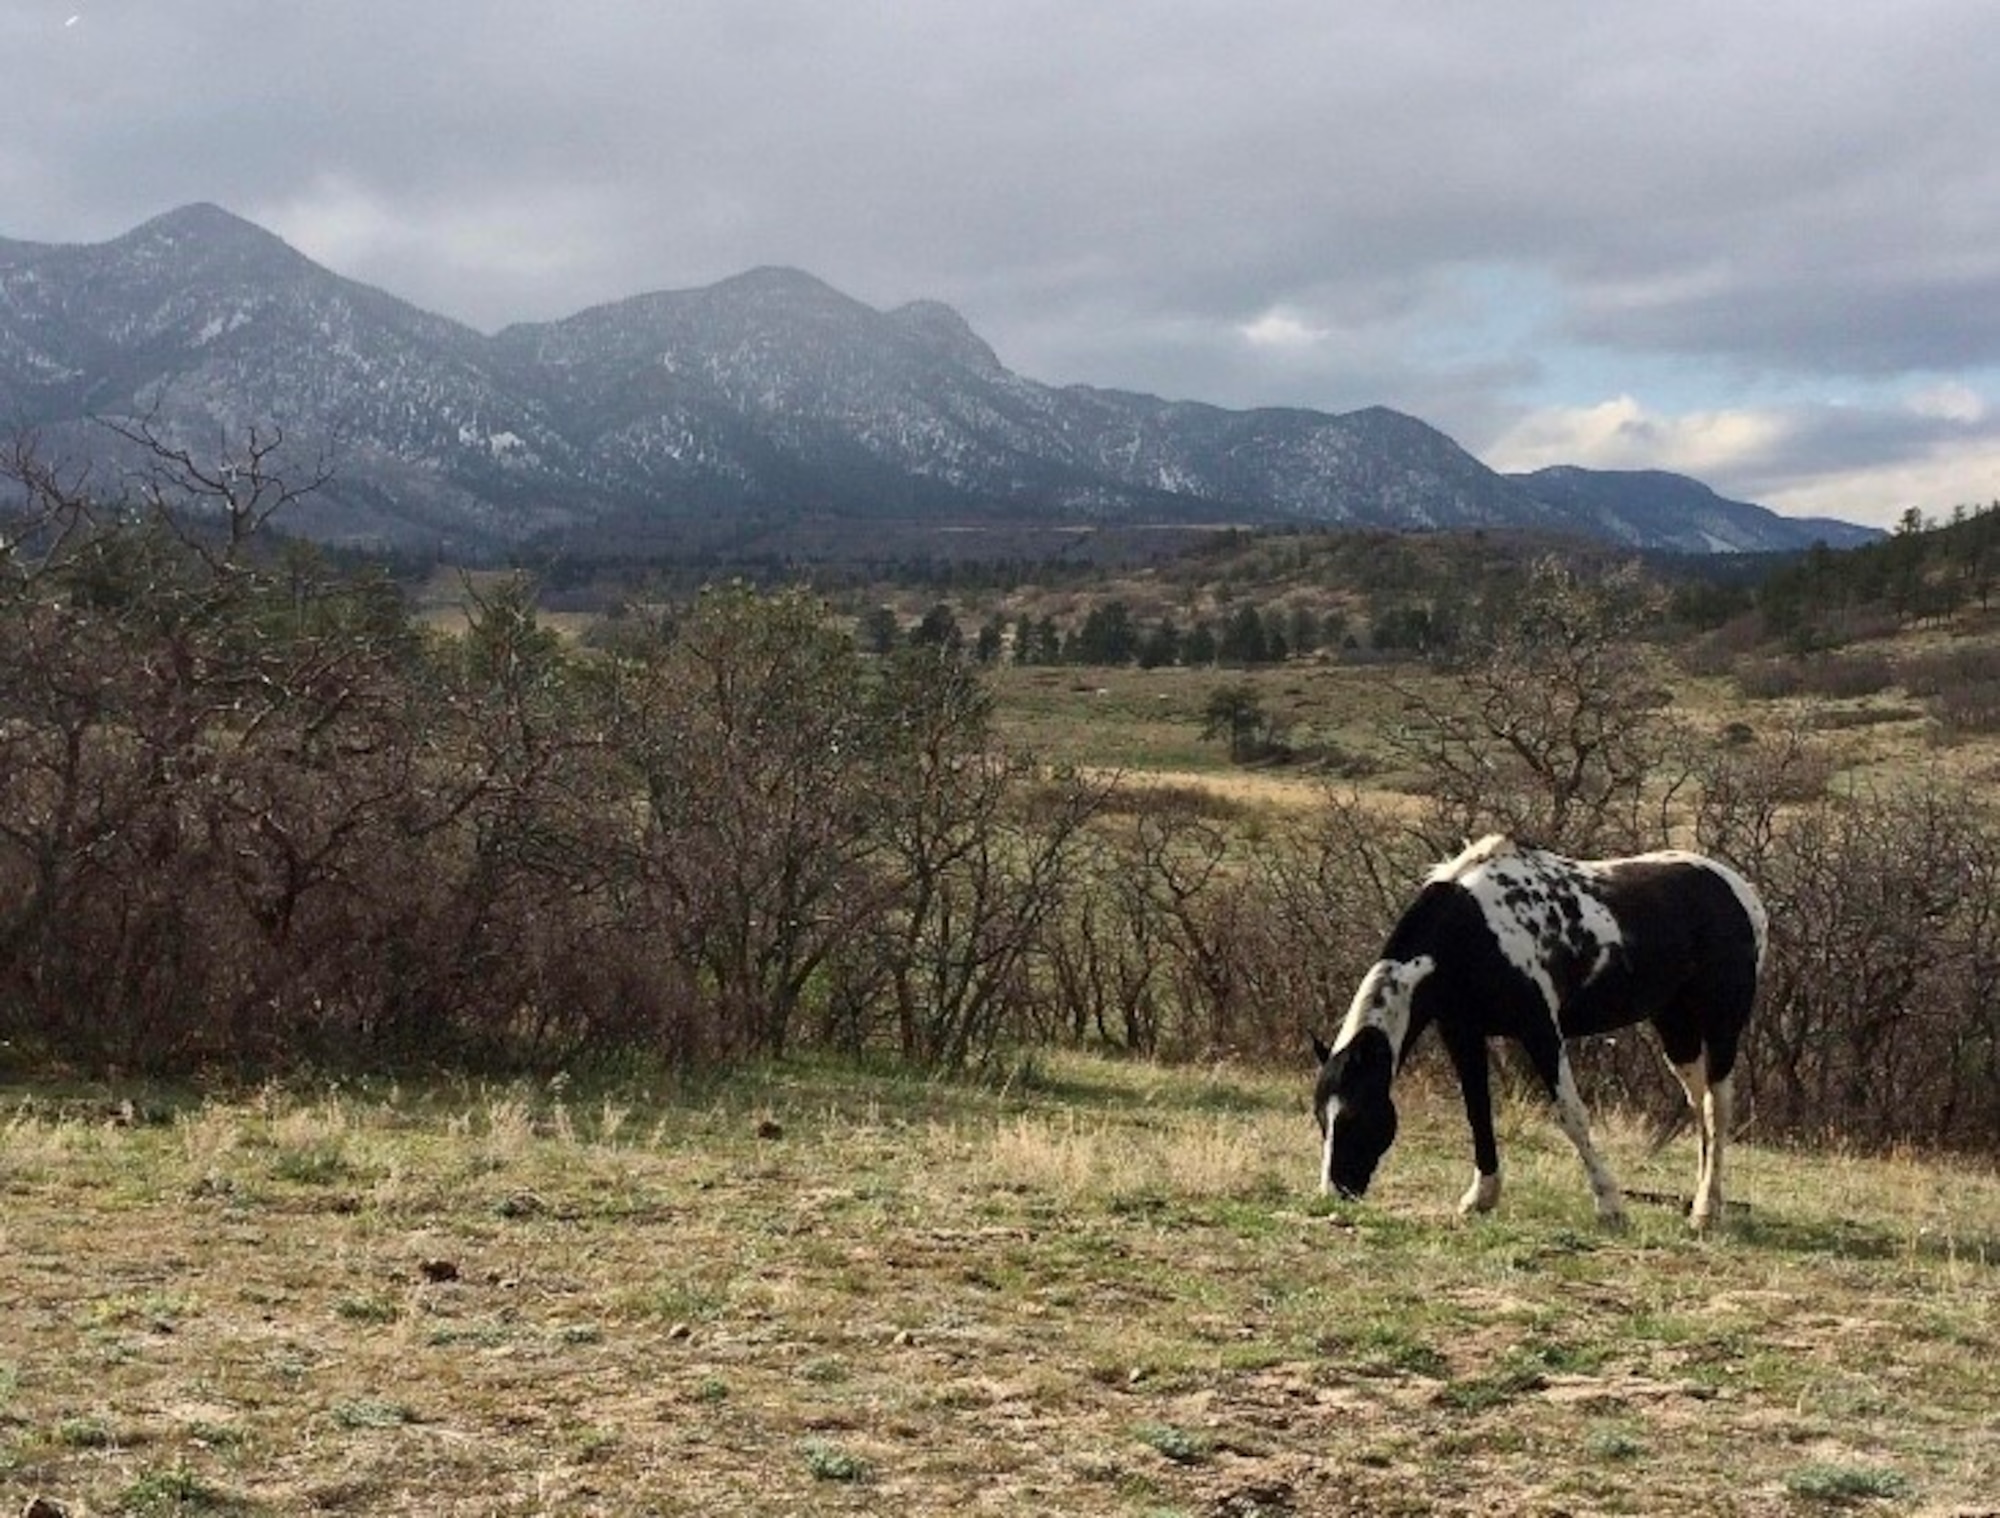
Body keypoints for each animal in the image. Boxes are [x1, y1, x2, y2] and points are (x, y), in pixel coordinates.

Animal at [1312, 832, 1768, 1232]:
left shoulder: (1540, 1030)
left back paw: (1704, 1212)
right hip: (1676, 1027)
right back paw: (1708, 1201)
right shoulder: (1462, 1033)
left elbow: (1571, 1115)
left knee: (1717, 1106)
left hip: (1721, 1025)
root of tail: (1743, 895)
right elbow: (1477, 1112)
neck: (1471, 932)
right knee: (1700, 1105)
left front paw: (1610, 1206)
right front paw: (1481, 1197)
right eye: (1321, 1119)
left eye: (1355, 1116)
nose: (1335, 1193)